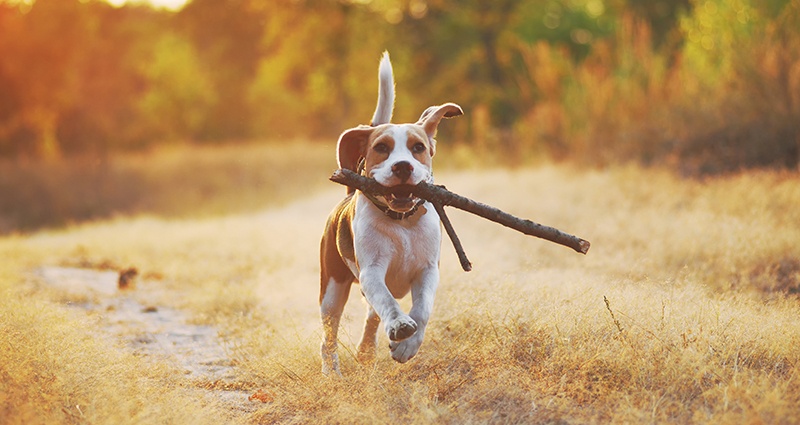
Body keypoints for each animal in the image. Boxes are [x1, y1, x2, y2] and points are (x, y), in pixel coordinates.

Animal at [318, 52, 462, 374]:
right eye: (382, 147)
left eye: (418, 147)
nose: (402, 167)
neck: (402, 223)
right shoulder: (372, 270)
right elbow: (386, 301)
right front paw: (398, 324)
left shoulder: (427, 270)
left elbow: (422, 309)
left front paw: (407, 345)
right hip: (332, 288)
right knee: (329, 334)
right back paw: (331, 372)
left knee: (371, 316)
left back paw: (366, 350)